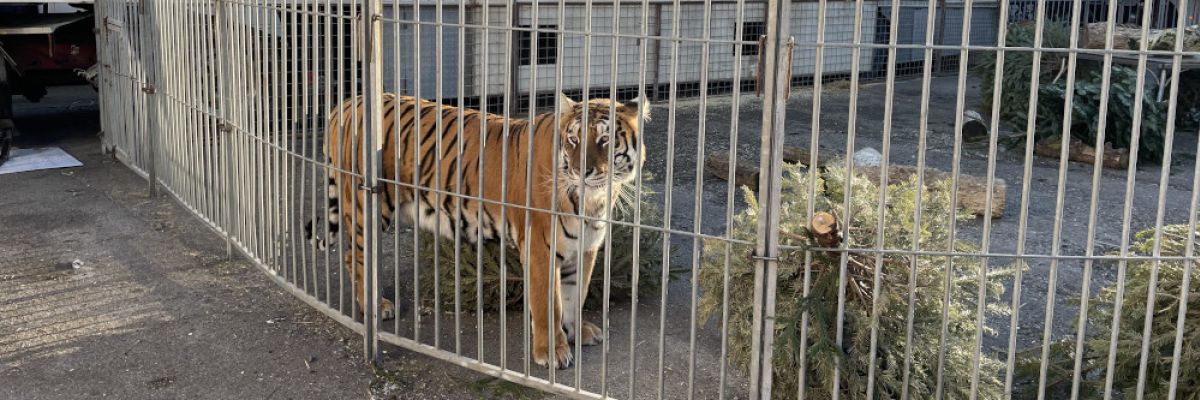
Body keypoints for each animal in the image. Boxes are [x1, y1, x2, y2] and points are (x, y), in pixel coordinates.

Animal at [303, 92, 649, 369]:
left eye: (605, 140)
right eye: (574, 140)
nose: (581, 171)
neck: (593, 201)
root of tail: (346, 103)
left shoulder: (585, 248)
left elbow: (577, 295)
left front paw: (578, 332)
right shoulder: (540, 250)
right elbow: (548, 305)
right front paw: (551, 352)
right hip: (368, 206)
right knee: (354, 256)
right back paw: (376, 306)